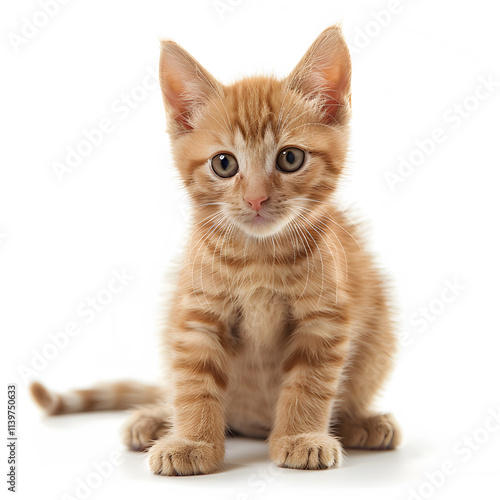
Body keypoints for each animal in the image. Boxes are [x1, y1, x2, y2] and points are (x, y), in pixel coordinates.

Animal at [31, 24, 400, 476]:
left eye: (290, 158)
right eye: (224, 164)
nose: (256, 199)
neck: (259, 257)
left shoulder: (324, 319)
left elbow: (309, 383)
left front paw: (300, 437)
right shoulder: (195, 316)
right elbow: (194, 383)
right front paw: (192, 442)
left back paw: (362, 423)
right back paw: (154, 419)